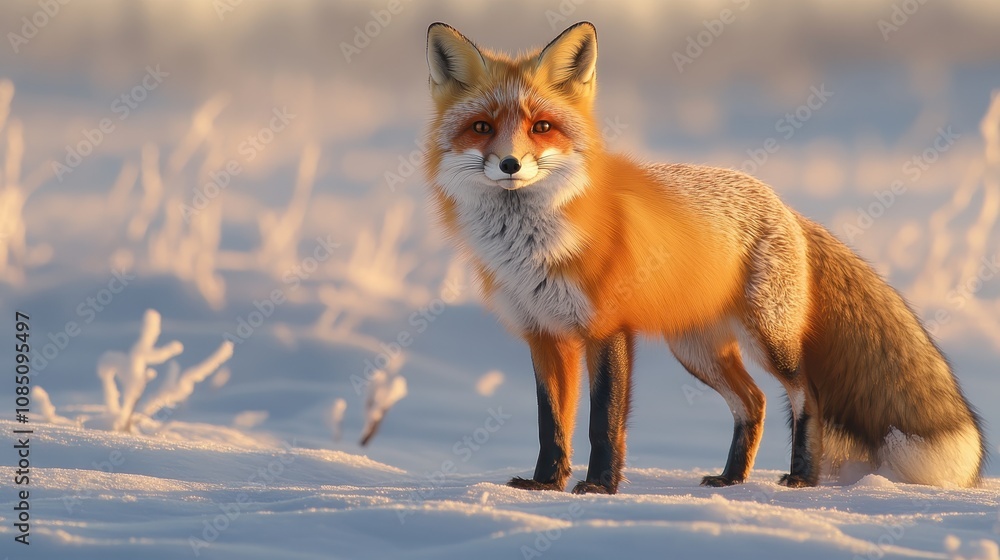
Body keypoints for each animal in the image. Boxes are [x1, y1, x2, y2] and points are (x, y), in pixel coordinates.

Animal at [422, 21, 986, 493]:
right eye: (481, 127)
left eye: (541, 127)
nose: (510, 164)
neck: (533, 247)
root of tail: (785, 207)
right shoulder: (544, 335)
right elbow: (551, 425)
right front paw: (544, 485)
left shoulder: (607, 328)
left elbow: (602, 422)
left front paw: (600, 487)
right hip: (696, 350)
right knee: (755, 402)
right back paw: (731, 478)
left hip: (768, 340)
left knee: (807, 394)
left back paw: (802, 477)